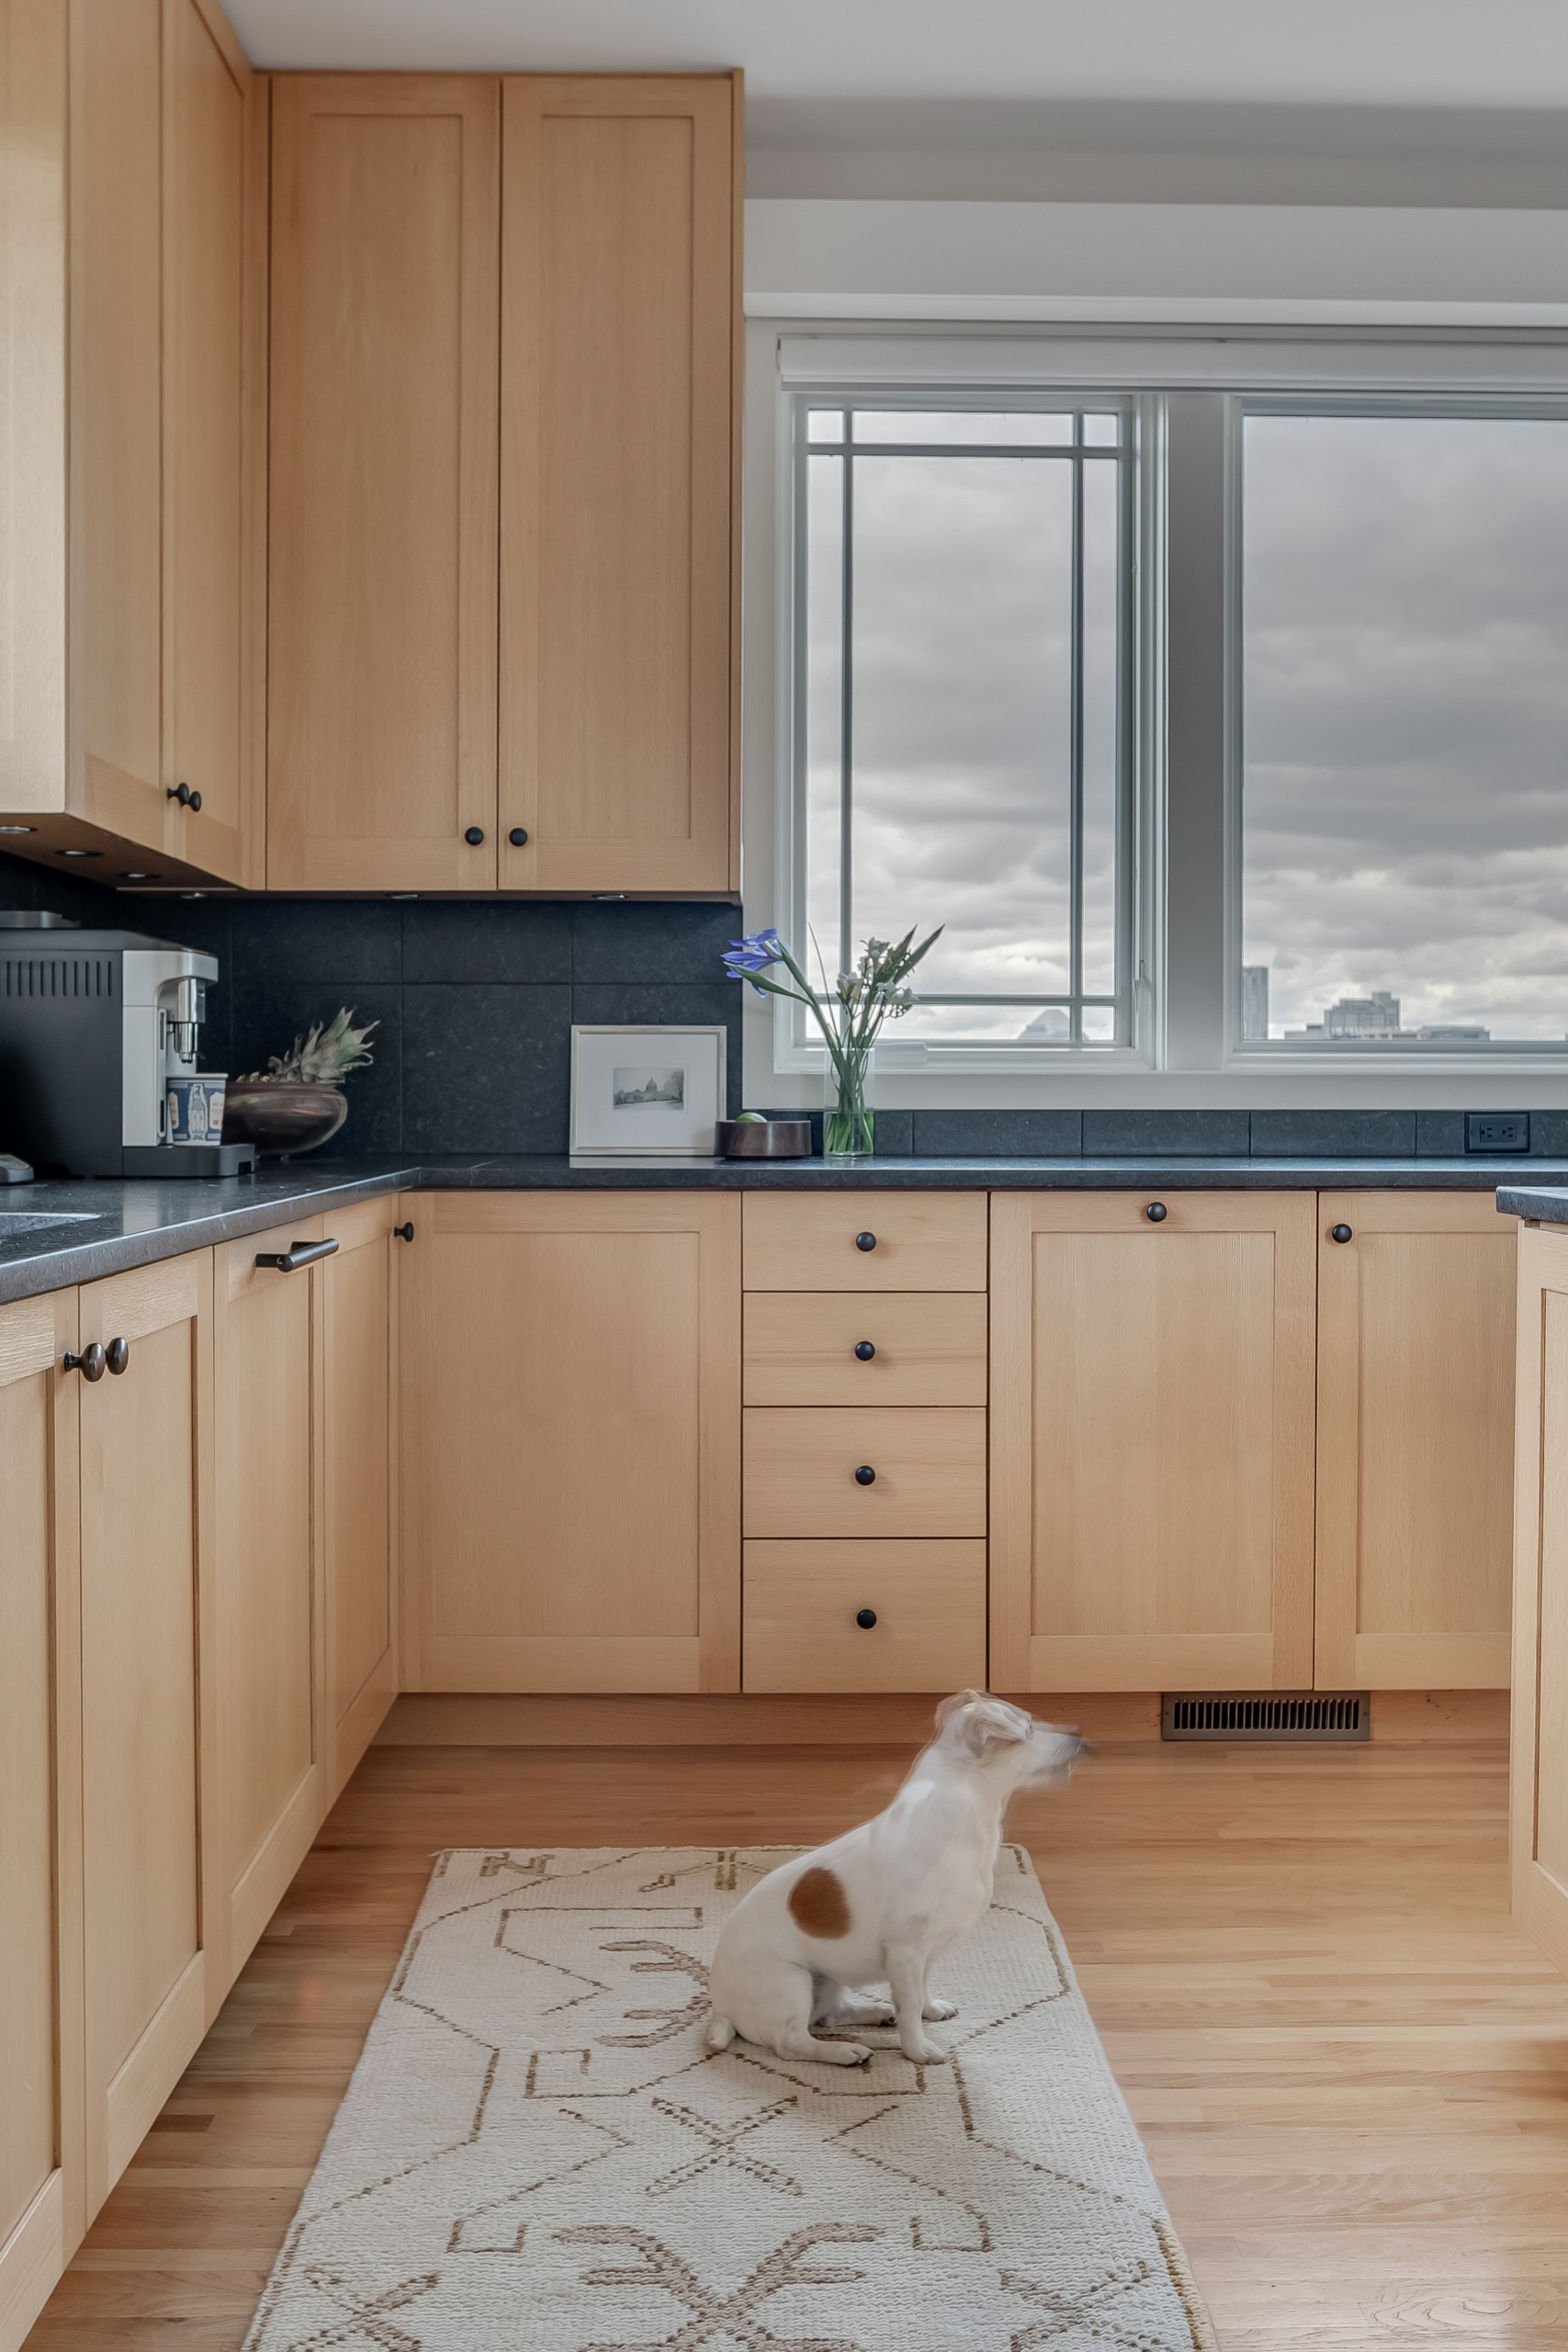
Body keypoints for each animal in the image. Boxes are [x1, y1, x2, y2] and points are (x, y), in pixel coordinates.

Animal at [709, 1693, 1086, 2060]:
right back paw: (845, 2051)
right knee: (793, 2043)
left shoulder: (928, 1952)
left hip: (830, 1981)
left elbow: (922, 1990)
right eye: (1029, 1728)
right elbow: (910, 2002)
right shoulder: (905, 1951)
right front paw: (918, 2050)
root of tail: (722, 2011)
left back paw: (876, 2014)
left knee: (829, 2015)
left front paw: (930, 2011)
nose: (1080, 1736)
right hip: (792, 1981)